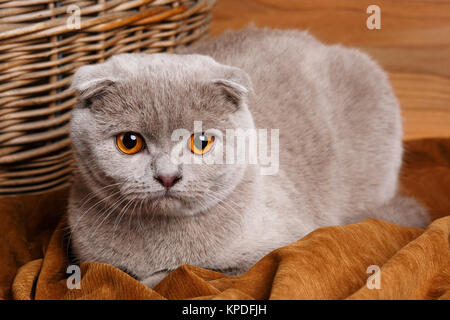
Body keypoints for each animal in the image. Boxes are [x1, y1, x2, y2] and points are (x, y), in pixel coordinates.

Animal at [67, 27, 428, 288]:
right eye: (130, 142)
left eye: (201, 142)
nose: (168, 176)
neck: (162, 240)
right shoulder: (89, 260)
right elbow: (117, 272)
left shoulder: (282, 246)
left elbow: (184, 273)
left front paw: (158, 275)